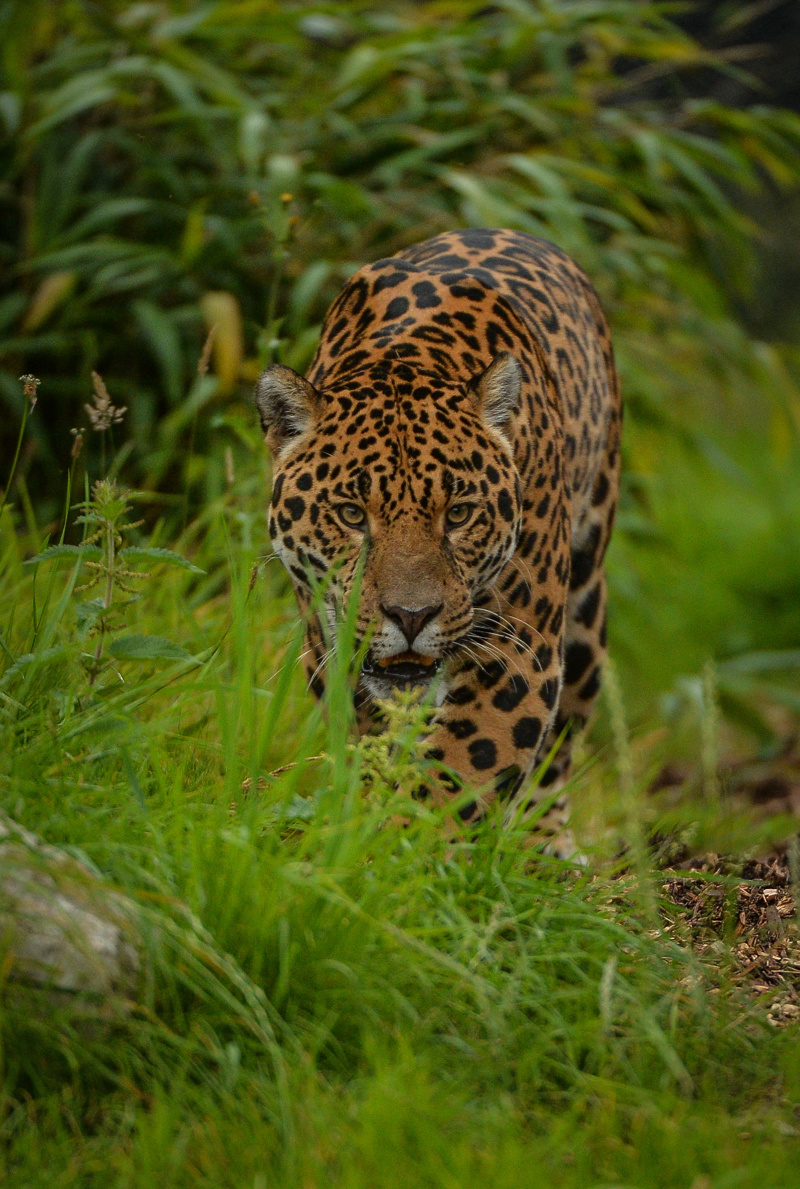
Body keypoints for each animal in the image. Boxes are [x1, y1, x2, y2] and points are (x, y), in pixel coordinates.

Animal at [255, 228, 621, 851]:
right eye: (351, 514)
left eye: (459, 514)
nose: (411, 616)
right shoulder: (331, 644)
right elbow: (370, 745)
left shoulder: (515, 649)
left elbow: (457, 772)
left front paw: (398, 848)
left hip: (584, 606)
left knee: (560, 743)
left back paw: (541, 845)